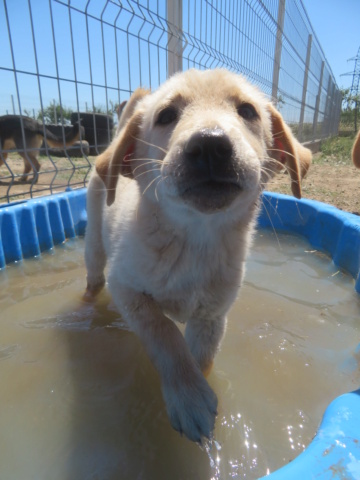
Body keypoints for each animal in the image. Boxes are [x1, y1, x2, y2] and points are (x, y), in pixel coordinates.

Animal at [85, 67, 306, 442]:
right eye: (165, 116)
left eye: (248, 111)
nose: (211, 145)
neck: (193, 242)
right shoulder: (126, 289)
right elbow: (165, 334)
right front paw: (188, 397)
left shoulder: (213, 315)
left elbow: (201, 357)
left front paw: (199, 384)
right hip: (94, 249)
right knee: (92, 279)